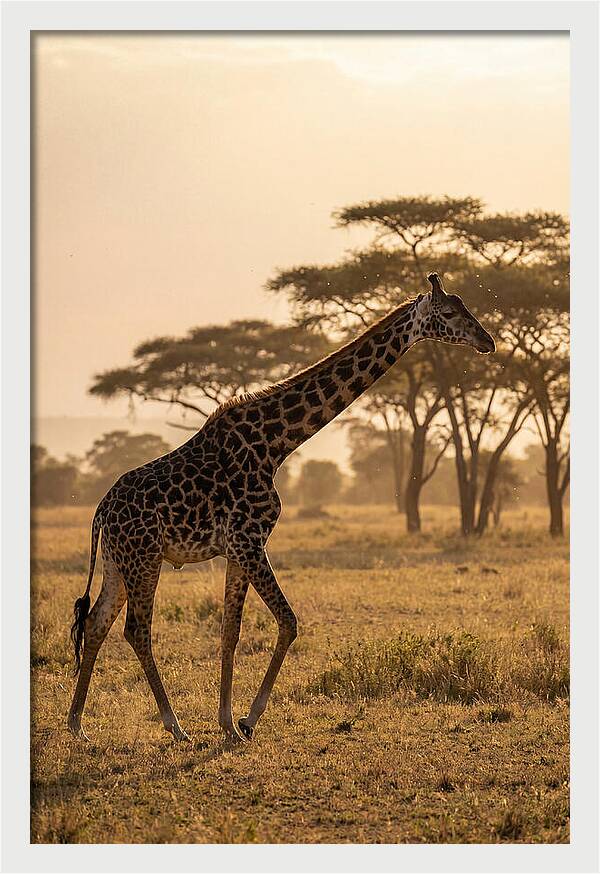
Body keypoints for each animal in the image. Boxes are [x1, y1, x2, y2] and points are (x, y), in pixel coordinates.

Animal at [67, 273, 495, 744]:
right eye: (450, 312)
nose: (488, 341)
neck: (276, 444)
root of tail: (101, 511)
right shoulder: (249, 540)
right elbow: (288, 622)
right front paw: (248, 719)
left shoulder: (238, 549)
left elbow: (230, 631)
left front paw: (228, 724)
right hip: (144, 558)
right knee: (136, 629)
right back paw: (174, 726)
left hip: (118, 562)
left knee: (96, 622)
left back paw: (77, 724)